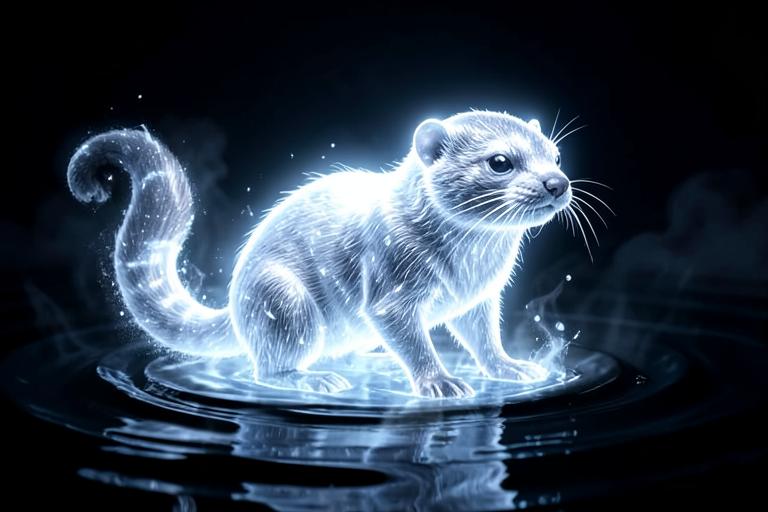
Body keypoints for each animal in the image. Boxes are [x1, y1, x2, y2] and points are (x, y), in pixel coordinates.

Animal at [67, 111, 572, 398]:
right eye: (500, 161)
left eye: (555, 155)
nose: (557, 183)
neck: (472, 264)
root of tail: (235, 302)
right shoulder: (391, 293)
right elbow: (412, 338)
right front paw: (439, 381)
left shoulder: (479, 302)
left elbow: (485, 340)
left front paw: (510, 367)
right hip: (284, 301)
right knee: (266, 370)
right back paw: (313, 379)